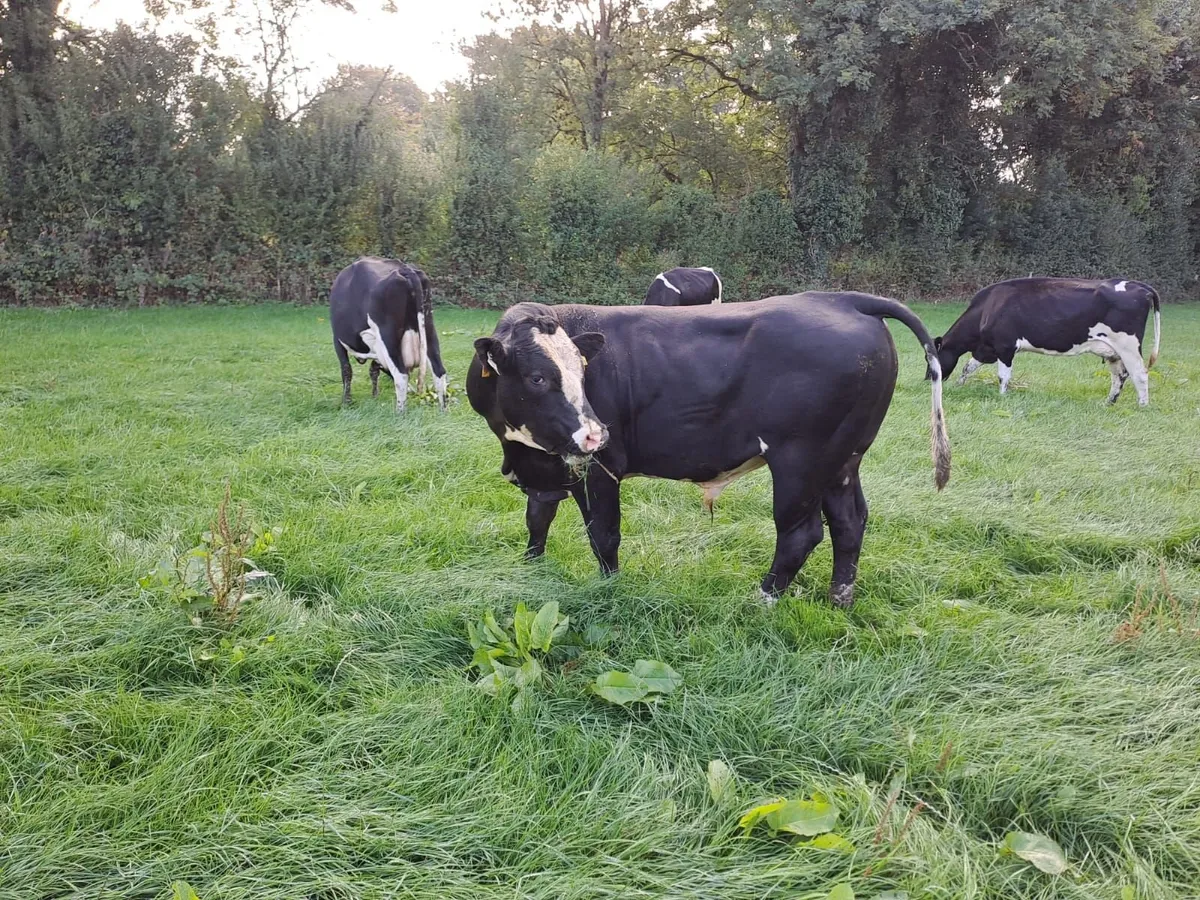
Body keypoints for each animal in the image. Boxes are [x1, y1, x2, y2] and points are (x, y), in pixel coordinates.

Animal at [330, 256, 448, 411]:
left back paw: (400, 412)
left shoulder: (337, 341)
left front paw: (346, 402)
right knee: (439, 371)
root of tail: (404, 268)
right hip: (429, 328)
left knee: (401, 375)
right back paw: (443, 410)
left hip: (388, 336)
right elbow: (373, 369)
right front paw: (375, 395)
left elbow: (346, 370)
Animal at [467, 292, 950, 608]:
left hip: (802, 462)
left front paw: (609, 590)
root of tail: (843, 299)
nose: (595, 434)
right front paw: (531, 570)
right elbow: (537, 521)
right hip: (842, 460)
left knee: (801, 533)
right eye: (537, 377)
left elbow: (603, 535)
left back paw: (763, 599)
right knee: (850, 523)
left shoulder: (599, 471)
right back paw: (840, 599)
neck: (521, 449)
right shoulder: (544, 469)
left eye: (583, 373)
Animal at [932, 277, 1161, 406]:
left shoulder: (1005, 347)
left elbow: (1003, 376)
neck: (988, 309)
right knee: (1119, 376)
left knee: (1139, 374)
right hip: (1114, 352)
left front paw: (1002, 397)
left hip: (1128, 346)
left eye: (930, 359)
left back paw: (1143, 406)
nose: (928, 378)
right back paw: (1108, 402)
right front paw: (959, 385)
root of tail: (1139, 286)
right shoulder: (986, 349)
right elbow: (968, 367)